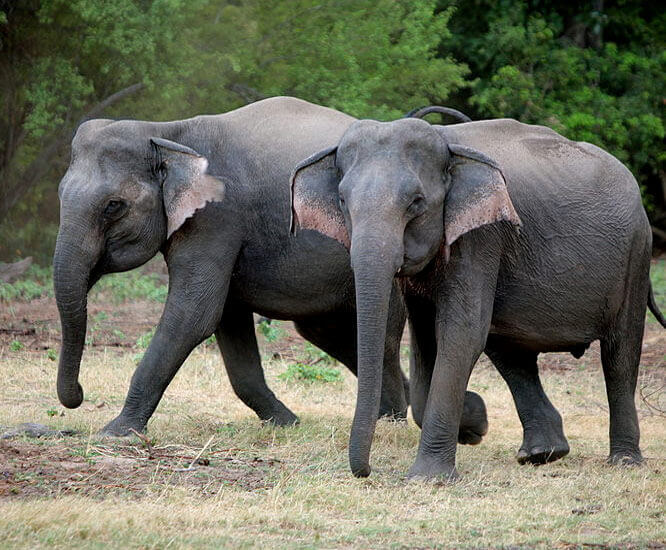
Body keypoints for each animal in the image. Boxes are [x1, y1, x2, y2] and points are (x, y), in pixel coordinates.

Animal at [53, 96, 490, 442]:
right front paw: (286, 423)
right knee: (325, 331)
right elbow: (225, 319)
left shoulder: (218, 217)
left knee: (379, 337)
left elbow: (194, 314)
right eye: (59, 193)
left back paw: (392, 420)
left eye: (113, 206)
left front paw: (114, 432)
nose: (78, 395)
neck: (168, 132)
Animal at [291, 115, 666, 480]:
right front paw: (473, 423)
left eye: (416, 202)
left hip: (636, 255)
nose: (366, 472)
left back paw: (623, 462)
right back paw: (542, 454)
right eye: (342, 201)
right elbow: (427, 336)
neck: (446, 141)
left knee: (619, 355)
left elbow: (460, 334)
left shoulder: (482, 236)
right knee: (510, 352)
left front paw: (429, 477)